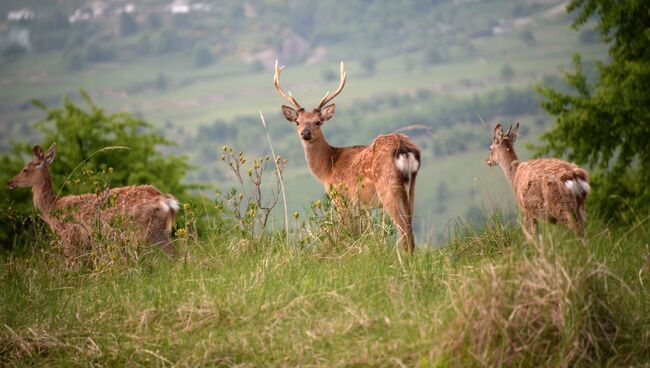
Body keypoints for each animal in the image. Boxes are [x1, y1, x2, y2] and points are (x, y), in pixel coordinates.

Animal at [8, 142, 180, 258]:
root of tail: (166, 200)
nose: (9, 182)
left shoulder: (70, 236)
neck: (52, 208)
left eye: (25, 169)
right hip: (158, 231)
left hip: (141, 231)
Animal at [274, 61, 420, 253]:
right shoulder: (359, 205)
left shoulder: (341, 198)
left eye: (318, 122)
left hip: (387, 186)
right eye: (297, 122)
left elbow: (347, 231)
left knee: (403, 229)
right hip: (411, 186)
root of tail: (404, 149)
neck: (328, 169)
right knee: (410, 228)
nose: (305, 133)